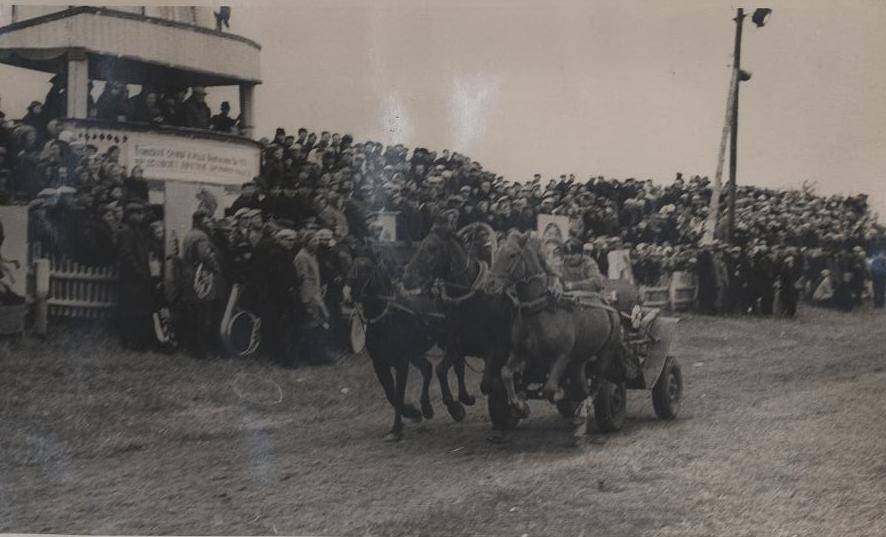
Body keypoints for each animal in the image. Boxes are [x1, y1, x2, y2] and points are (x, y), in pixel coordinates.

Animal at [348, 254, 442, 440]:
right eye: (351, 266)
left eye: (367, 268)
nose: (350, 292)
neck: (386, 321)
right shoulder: (379, 364)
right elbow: (390, 394)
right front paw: (413, 413)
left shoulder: (401, 363)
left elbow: (398, 394)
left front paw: (397, 429)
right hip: (415, 354)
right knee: (427, 368)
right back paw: (426, 408)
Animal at [402, 222, 512, 422]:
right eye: (420, 244)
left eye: (432, 247)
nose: (407, 278)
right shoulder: (455, 345)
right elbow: (444, 369)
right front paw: (457, 404)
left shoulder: (495, 348)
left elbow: (488, 381)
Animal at [486, 232, 624, 416]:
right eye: (496, 253)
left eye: (512, 254)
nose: (489, 284)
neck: (540, 311)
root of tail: (611, 307)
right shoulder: (520, 352)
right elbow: (505, 373)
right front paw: (520, 405)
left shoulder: (562, 356)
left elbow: (550, 389)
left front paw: (560, 393)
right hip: (580, 358)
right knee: (582, 385)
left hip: (606, 353)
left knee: (598, 383)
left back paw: (589, 405)